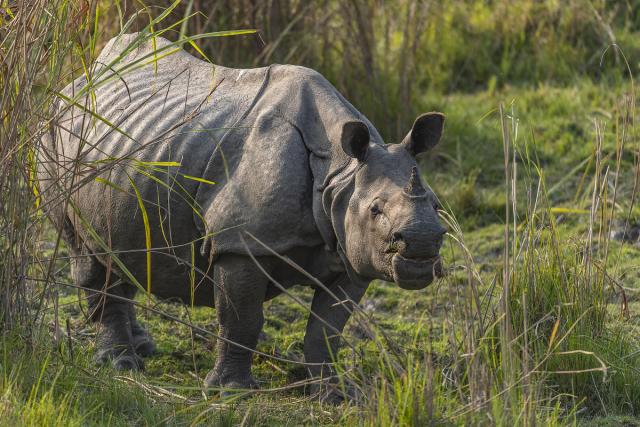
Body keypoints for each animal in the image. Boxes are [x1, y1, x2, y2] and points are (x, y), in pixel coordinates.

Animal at [38, 33, 446, 395]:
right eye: (375, 209)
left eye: (436, 205)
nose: (422, 243)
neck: (338, 173)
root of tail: (77, 81)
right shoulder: (242, 242)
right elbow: (242, 320)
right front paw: (232, 392)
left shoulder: (351, 251)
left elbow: (327, 329)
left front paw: (334, 394)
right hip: (55, 140)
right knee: (86, 252)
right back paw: (121, 363)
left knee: (118, 243)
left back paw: (142, 346)